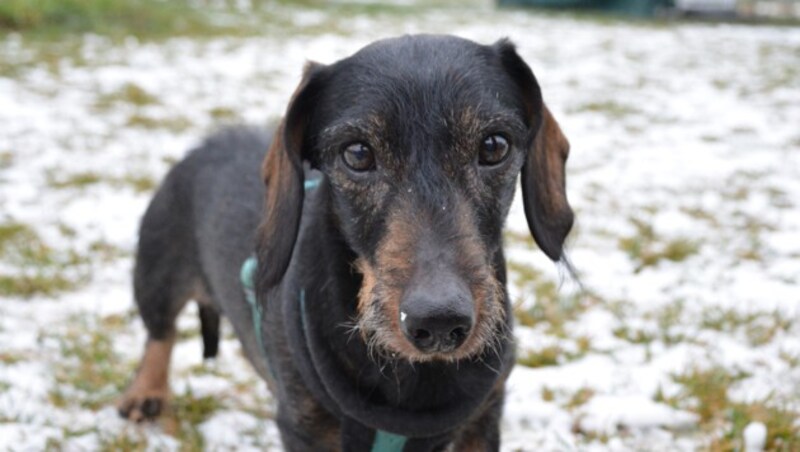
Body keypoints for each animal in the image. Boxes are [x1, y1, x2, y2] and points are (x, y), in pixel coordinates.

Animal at [117, 33, 568, 450]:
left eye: (494, 145)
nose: (438, 321)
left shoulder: (484, 419)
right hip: (154, 276)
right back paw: (145, 392)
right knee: (159, 335)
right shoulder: (303, 428)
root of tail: (202, 146)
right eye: (357, 154)